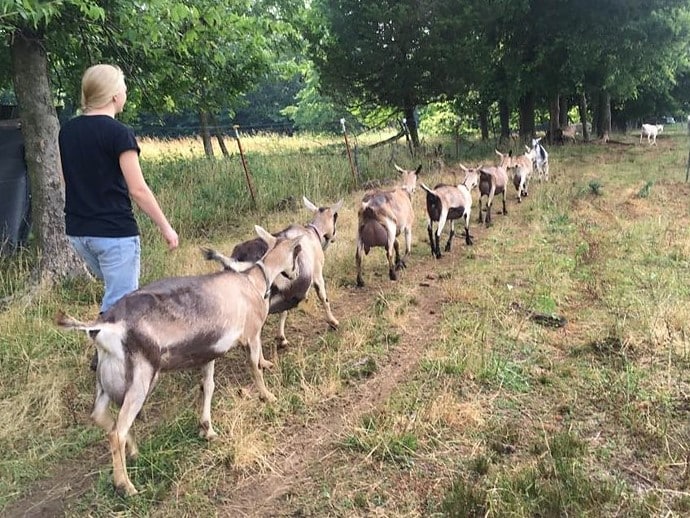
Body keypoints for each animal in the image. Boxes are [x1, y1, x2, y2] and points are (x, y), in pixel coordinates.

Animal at [55, 226, 302, 496]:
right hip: (141, 377)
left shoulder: (210, 351)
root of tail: (102, 326)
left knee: (100, 417)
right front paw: (268, 397)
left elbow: (208, 386)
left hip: (105, 377)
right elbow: (255, 367)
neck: (252, 281)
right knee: (116, 432)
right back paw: (126, 485)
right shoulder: (251, 334)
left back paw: (134, 451)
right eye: (296, 253)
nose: (295, 273)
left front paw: (208, 429)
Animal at [203, 196, 342, 348]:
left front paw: (281, 338)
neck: (312, 233)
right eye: (335, 216)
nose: (334, 237)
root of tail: (236, 259)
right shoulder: (317, 273)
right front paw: (334, 322)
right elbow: (323, 298)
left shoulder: (288, 290)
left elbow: (283, 311)